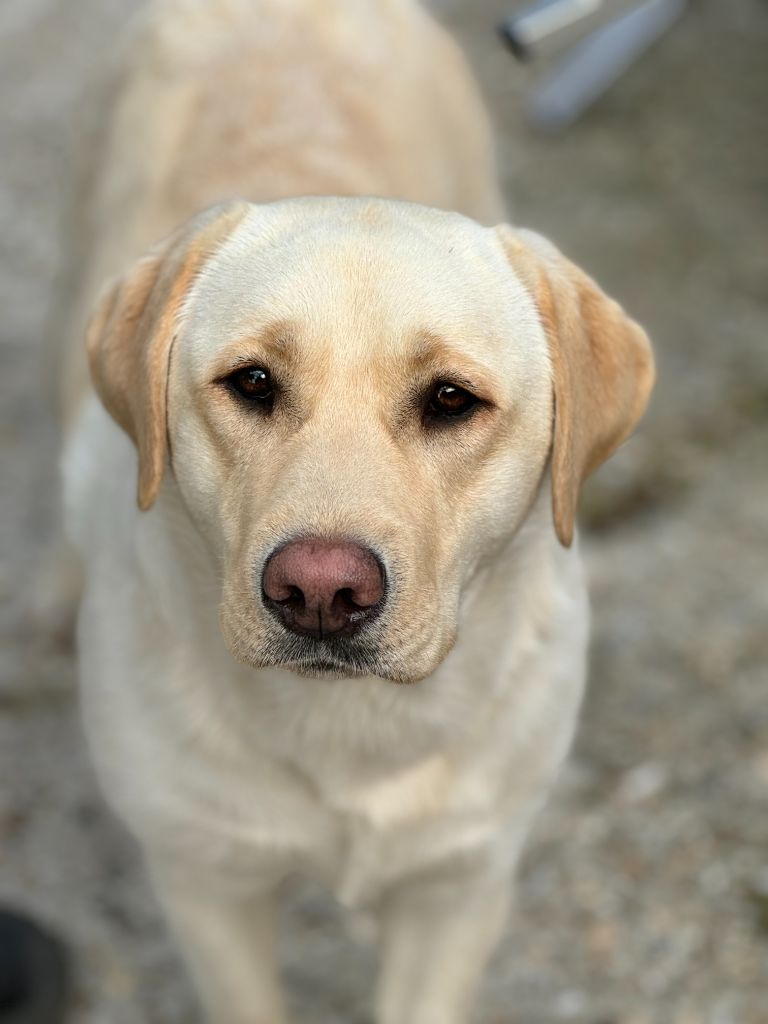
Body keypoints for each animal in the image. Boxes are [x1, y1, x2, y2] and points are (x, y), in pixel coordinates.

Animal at [61, 2, 655, 1024]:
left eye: (452, 399)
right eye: (252, 383)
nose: (320, 591)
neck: (350, 735)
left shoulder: (458, 888)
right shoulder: (205, 879)